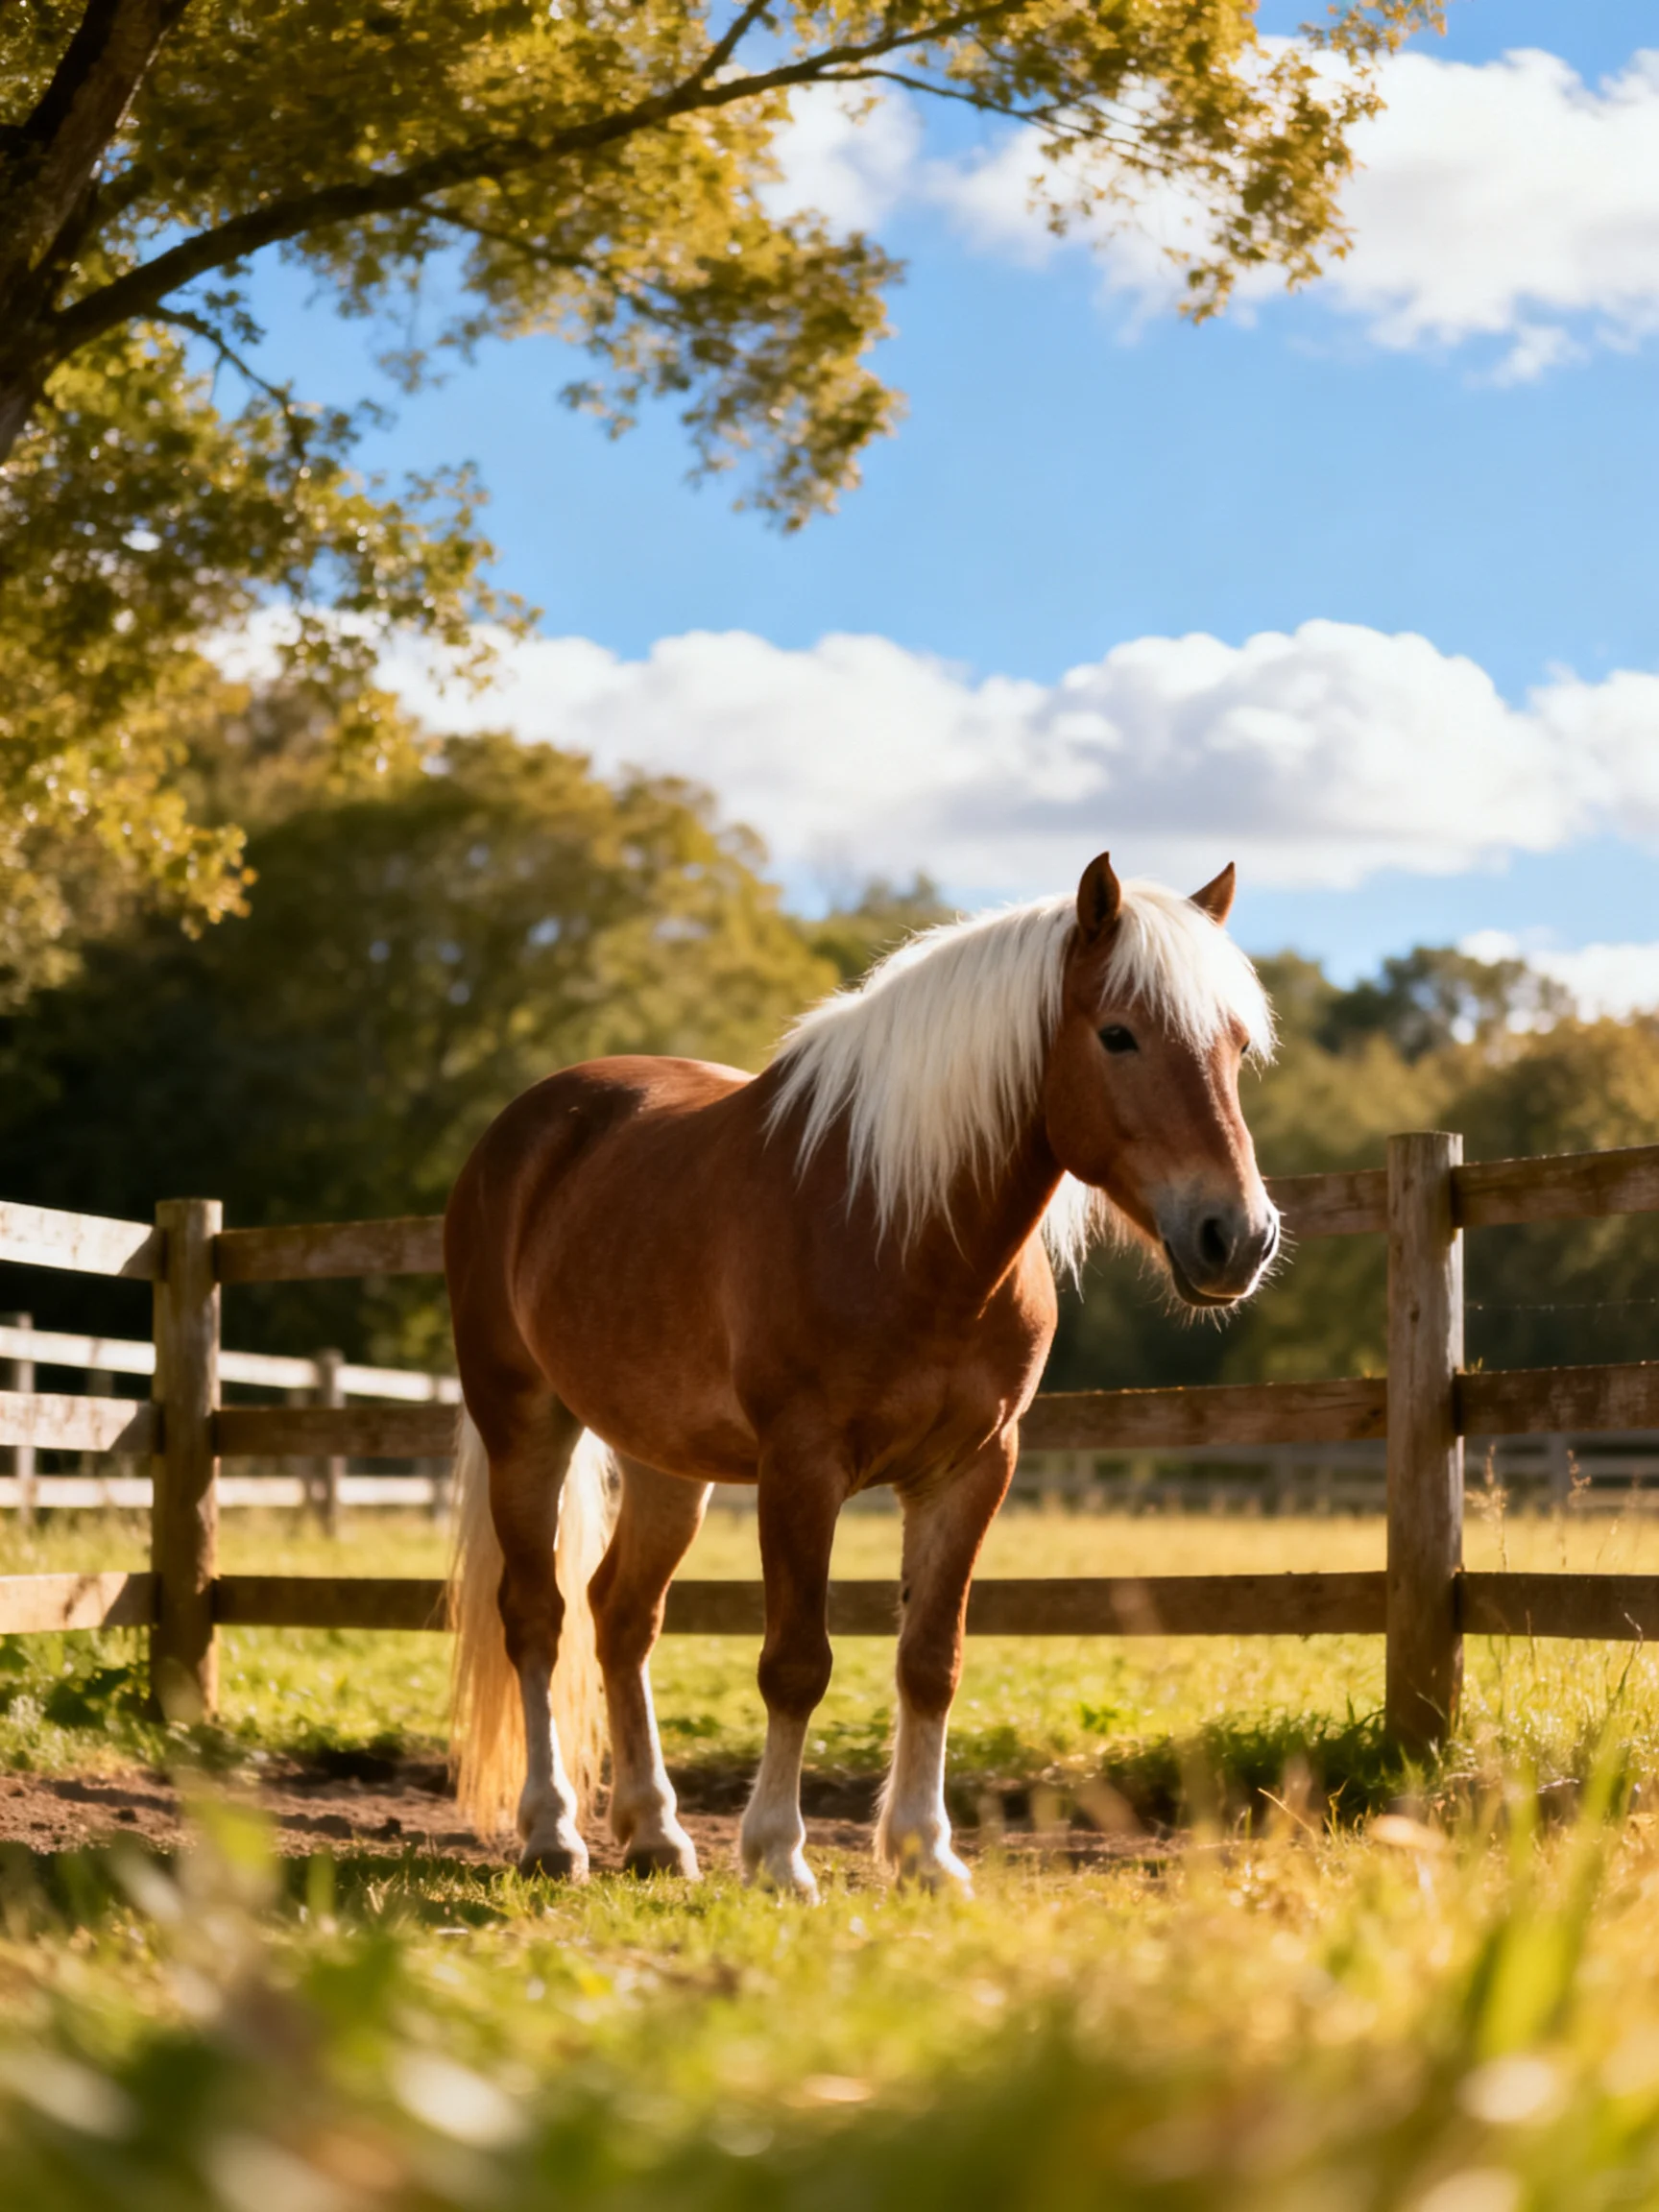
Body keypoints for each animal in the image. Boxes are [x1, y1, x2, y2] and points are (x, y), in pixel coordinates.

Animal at [445, 852, 1279, 1897]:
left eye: (1237, 1047)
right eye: (1119, 1034)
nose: (1236, 1237)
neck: (908, 1230)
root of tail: (527, 1126)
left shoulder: (973, 1469)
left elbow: (931, 1660)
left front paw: (925, 1853)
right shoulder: (802, 1468)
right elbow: (797, 1663)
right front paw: (777, 1856)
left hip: (665, 1464)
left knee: (621, 1616)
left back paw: (656, 1834)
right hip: (523, 1424)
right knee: (537, 1618)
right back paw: (554, 1833)